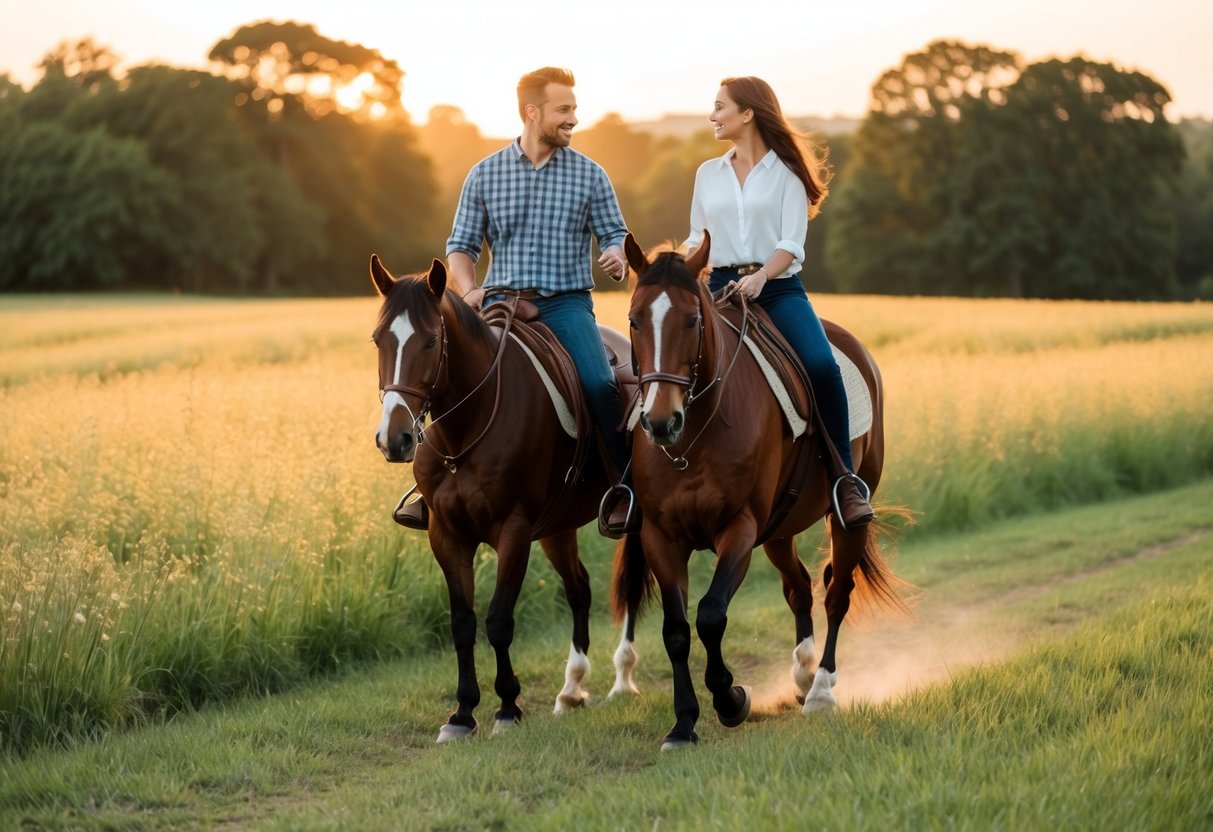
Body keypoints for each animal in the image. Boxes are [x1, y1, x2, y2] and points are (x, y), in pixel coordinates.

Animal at [371, 255, 642, 743]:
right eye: (378, 339)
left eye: (431, 340)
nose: (394, 439)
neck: (468, 429)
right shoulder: (446, 535)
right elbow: (462, 623)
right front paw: (461, 713)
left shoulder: (513, 530)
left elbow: (498, 620)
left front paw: (508, 708)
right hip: (558, 527)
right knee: (579, 589)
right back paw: (571, 689)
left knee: (633, 583)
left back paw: (623, 676)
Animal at [614, 232, 907, 749]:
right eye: (634, 319)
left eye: (691, 320)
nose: (661, 422)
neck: (695, 437)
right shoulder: (659, 537)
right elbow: (676, 629)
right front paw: (683, 723)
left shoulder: (740, 528)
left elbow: (711, 615)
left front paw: (731, 699)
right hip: (780, 530)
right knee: (800, 588)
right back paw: (803, 675)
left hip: (845, 512)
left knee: (837, 591)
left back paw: (821, 691)